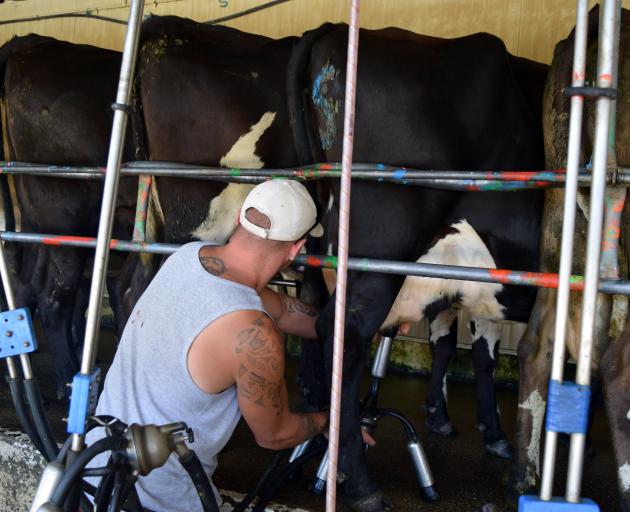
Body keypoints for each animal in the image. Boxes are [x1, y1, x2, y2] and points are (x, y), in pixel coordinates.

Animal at [288, 25, 552, 512]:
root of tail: (333, 29)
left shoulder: (481, 285)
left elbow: (474, 348)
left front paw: (484, 429)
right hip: (379, 251)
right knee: (341, 338)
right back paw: (361, 484)